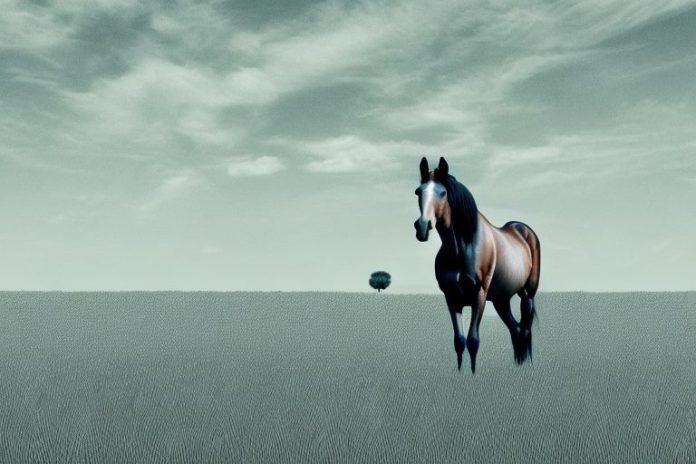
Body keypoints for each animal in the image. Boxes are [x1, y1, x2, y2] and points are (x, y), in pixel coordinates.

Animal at [414, 157, 541, 373]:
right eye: (418, 191)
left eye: (443, 192)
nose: (422, 226)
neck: (462, 247)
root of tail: (523, 230)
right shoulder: (452, 297)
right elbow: (459, 341)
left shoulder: (478, 295)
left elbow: (473, 341)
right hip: (501, 300)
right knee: (515, 329)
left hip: (527, 295)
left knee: (523, 329)